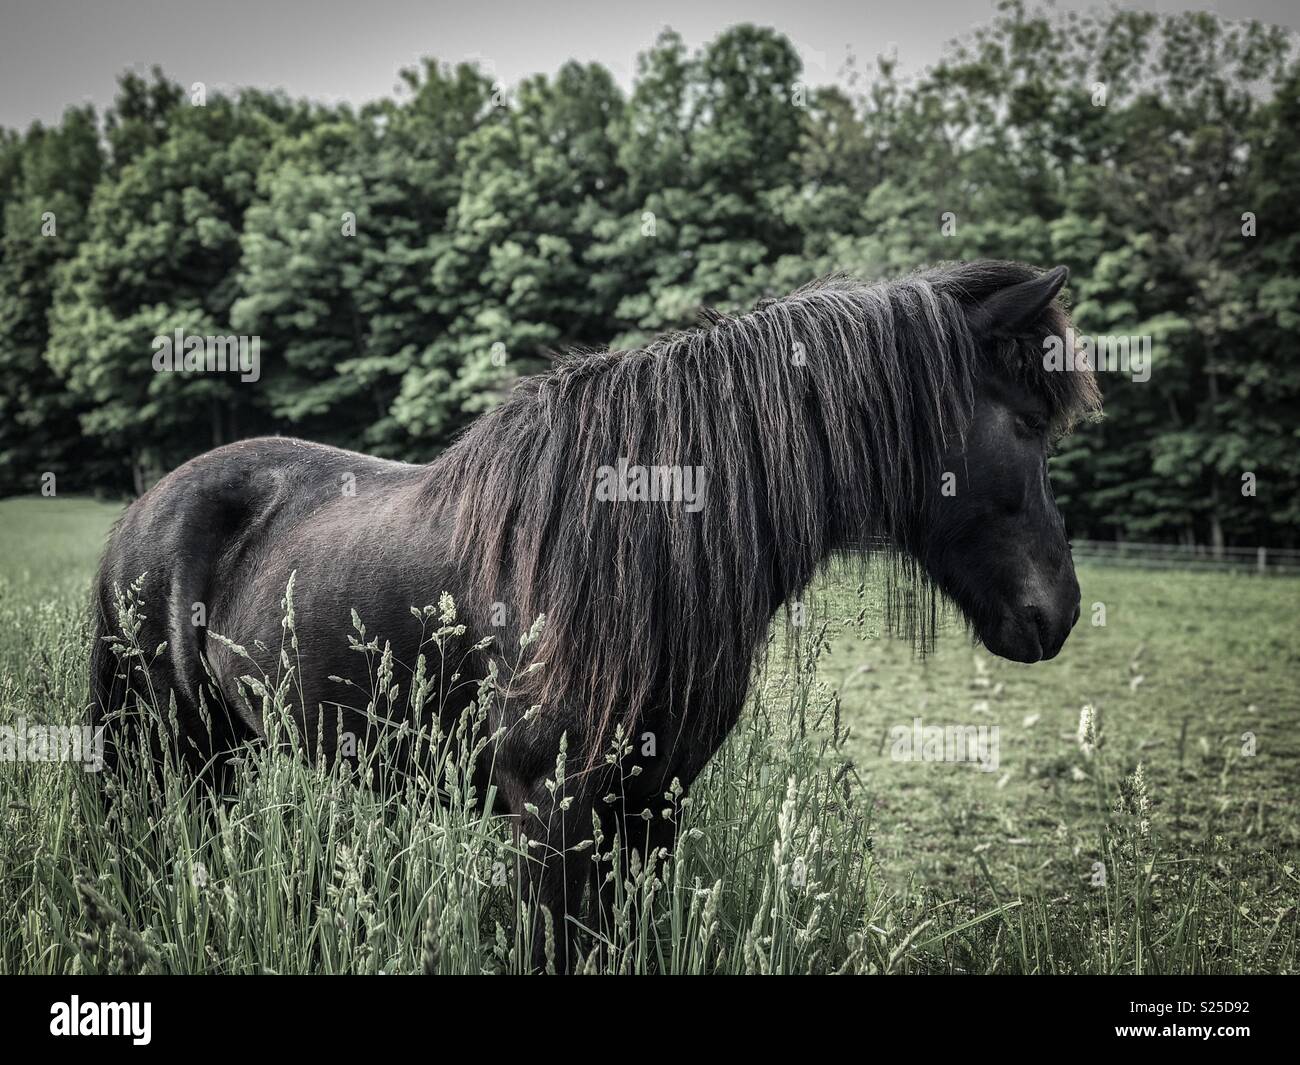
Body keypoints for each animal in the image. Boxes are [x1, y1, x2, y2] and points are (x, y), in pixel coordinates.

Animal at [91, 260, 1102, 972]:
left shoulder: (653, 801)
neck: (636, 549)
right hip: (162, 743)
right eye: (1024, 427)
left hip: (223, 750)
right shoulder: (551, 809)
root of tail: (148, 505)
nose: (1057, 612)